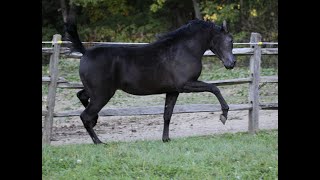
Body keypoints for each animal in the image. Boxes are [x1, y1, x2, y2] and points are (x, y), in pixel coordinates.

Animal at [64, 19, 235, 144]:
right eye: (229, 40)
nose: (231, 63)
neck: (184, 50)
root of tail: (85, 52)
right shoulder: (186, 84)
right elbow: (214, 88)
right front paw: (224, 115)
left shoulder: (173, 91)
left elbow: (167, 114)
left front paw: (166, 139)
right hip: (102, 94)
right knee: (85, 116)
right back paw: (98, 141)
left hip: (95, 91)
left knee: (81, 96)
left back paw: (95, 122)